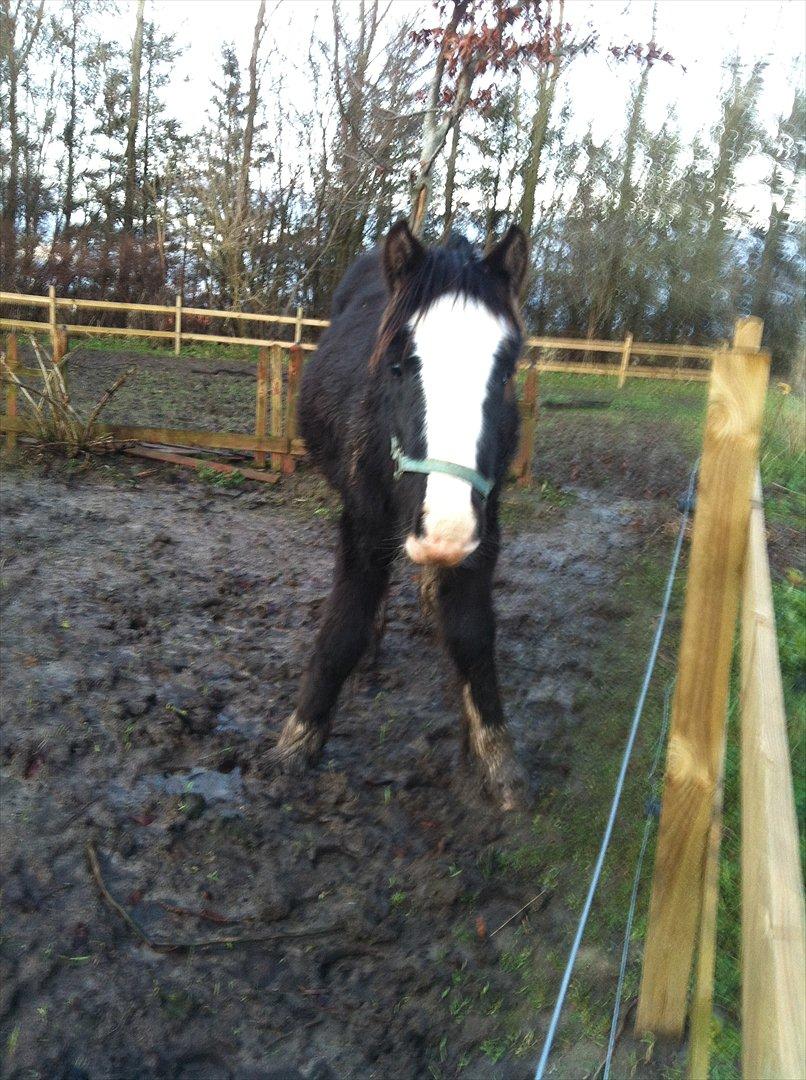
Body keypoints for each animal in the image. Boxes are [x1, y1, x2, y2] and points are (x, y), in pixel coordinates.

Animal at [271, 221, 527, 812]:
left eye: (506, 370)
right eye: (397, 363)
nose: (444, 531)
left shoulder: (485, 532)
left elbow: (472, 634)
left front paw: (494, 757)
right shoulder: (361, 525)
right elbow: (342, 625)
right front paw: (298, 743)